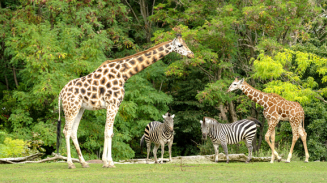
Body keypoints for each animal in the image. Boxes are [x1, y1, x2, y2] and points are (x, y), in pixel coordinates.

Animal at [58, 34, 195, 169]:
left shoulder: (115, 105)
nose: (192, 54)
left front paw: (107, 162)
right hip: (71, 108)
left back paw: (83, 162)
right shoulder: (112, 104)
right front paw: (108, 162)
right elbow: (108, 132)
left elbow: (110, 132)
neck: (124, 73)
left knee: (73, 131)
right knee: (66, 131)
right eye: (180, 45)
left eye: (185, 43)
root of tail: (61, 94)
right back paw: (70, 163)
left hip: (80, 108)